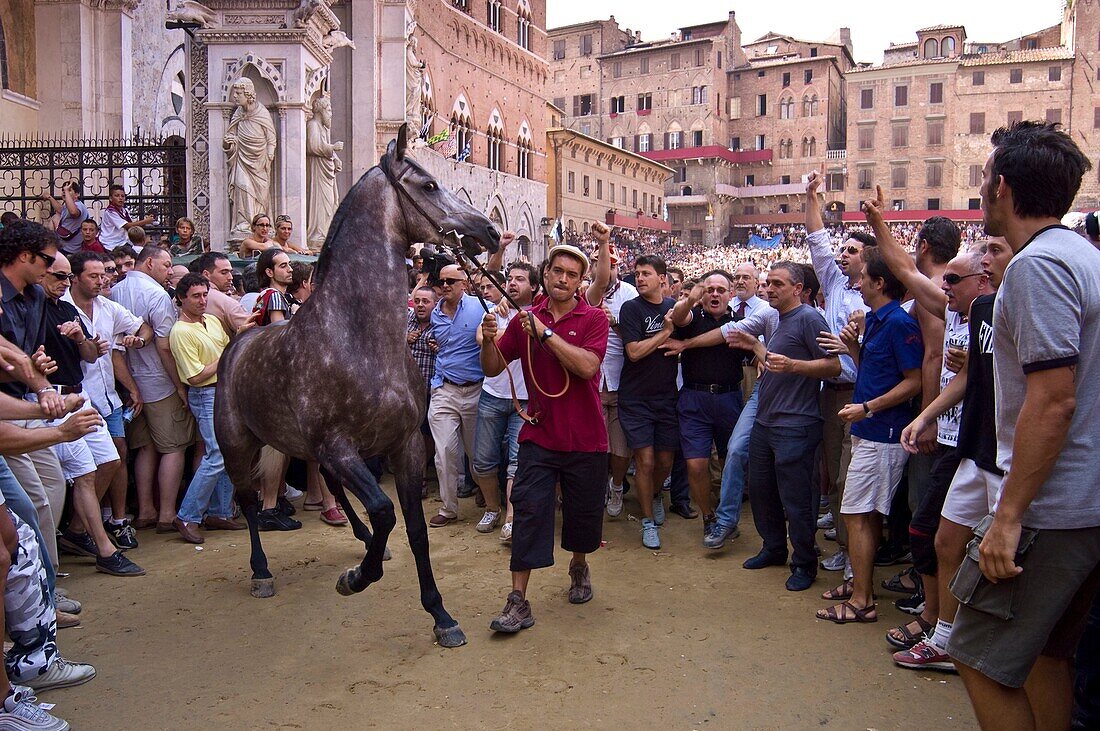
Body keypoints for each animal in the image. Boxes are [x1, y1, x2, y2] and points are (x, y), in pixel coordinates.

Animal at [214, 125, 499, 646]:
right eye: (428, 185)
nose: (487, 232)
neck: (357, 339)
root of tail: (239, 342)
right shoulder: (340, 446)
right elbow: (385, 510)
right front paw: (356, 579)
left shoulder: (403, 444)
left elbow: (414, 529)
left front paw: (441, 615)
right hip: (238, 443)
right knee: (247, 499)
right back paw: (262, 572)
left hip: (309, 448)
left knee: (330, 487)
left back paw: (367, 545)